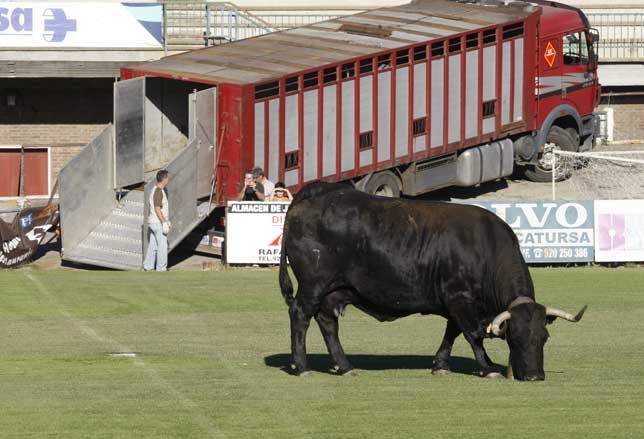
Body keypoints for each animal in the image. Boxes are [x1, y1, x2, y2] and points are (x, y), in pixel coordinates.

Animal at [278, 181, 586, 381]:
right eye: (515, 336)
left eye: (544, 337)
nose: (535, 376)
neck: (485, 246)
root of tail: (315, 193)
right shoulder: (459, 297)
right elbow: (473, 333)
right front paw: (489, 368)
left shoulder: (456, 302)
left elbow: (453, 332)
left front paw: (440, 364)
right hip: (313, 285)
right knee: (300, 316)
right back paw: (302, 366)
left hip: (333, 291)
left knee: (328, 324)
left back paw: (344, 366)